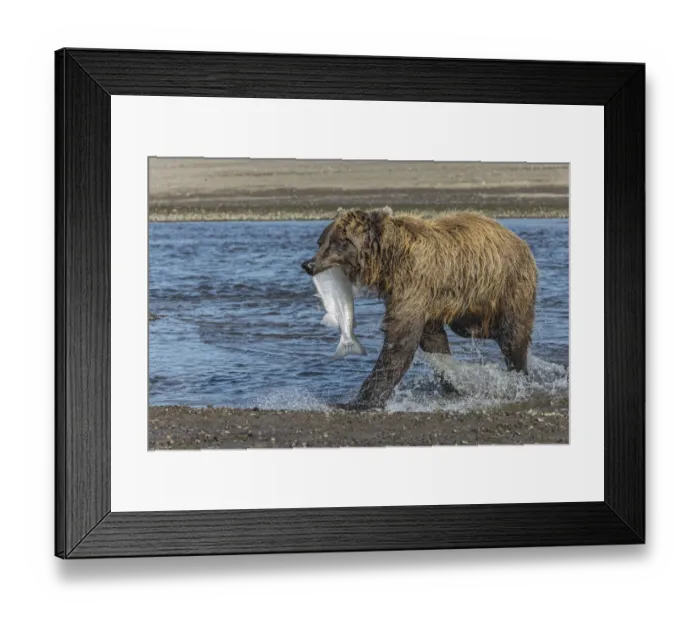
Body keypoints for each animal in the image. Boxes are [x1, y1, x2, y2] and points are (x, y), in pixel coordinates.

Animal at [301, 207, 538, 408]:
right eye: (321, 241)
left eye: (341, 241)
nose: (309, 264)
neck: (388, 260)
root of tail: (520, 241)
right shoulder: (416, 296)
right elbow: (432, 338)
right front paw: (451, 381)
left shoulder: (414, 282)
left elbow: (401, 339)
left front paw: (360, 400)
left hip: (508, 285)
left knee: (512, 335)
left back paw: (520, 376)